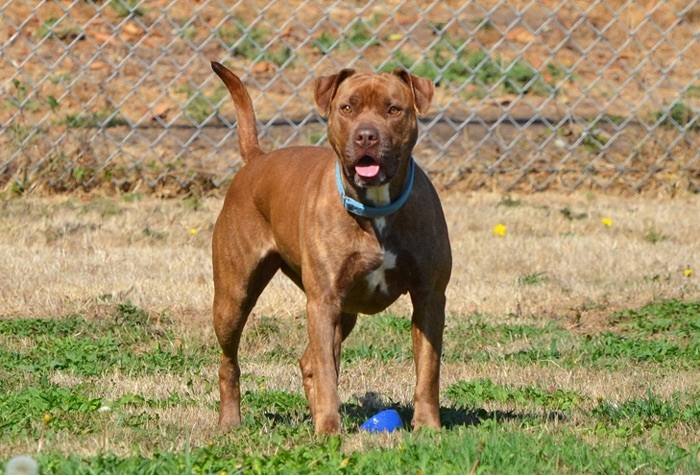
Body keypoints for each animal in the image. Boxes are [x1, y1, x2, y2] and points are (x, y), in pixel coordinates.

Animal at [211, 60, 452, 436]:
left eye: (394, 109)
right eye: (347, 107)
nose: (366, 135)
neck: (375, 208)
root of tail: (256, 160)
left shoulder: (430, 297)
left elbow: (428, 368)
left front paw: (427, 426)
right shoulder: (323, 302)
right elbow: (328, 372)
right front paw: (328, 430)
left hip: (345, 311)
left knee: (308, 360)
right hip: (233, 297)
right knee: (230, 361)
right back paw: (231, 421)